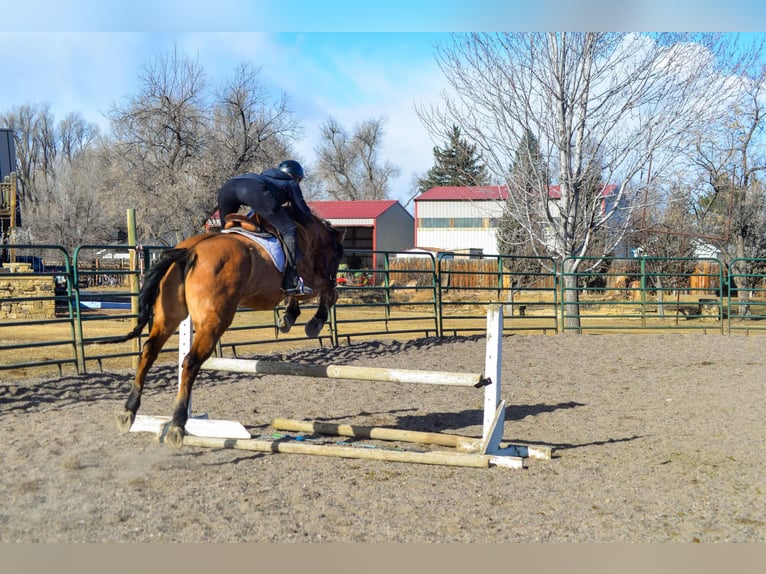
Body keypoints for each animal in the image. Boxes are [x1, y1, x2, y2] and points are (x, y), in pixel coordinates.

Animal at [100, 212, 344, 450]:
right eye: (338, 256)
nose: (336, 274)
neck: (307, 233)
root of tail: (190, 251)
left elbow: (314, 293)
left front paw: (288, 317)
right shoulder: (307, 282)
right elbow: (328, 291)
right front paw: (313, 321)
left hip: (168, 317)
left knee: (149, 351)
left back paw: (128, 412)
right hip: (214, 322)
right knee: (190, 361)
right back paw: (178, 425)